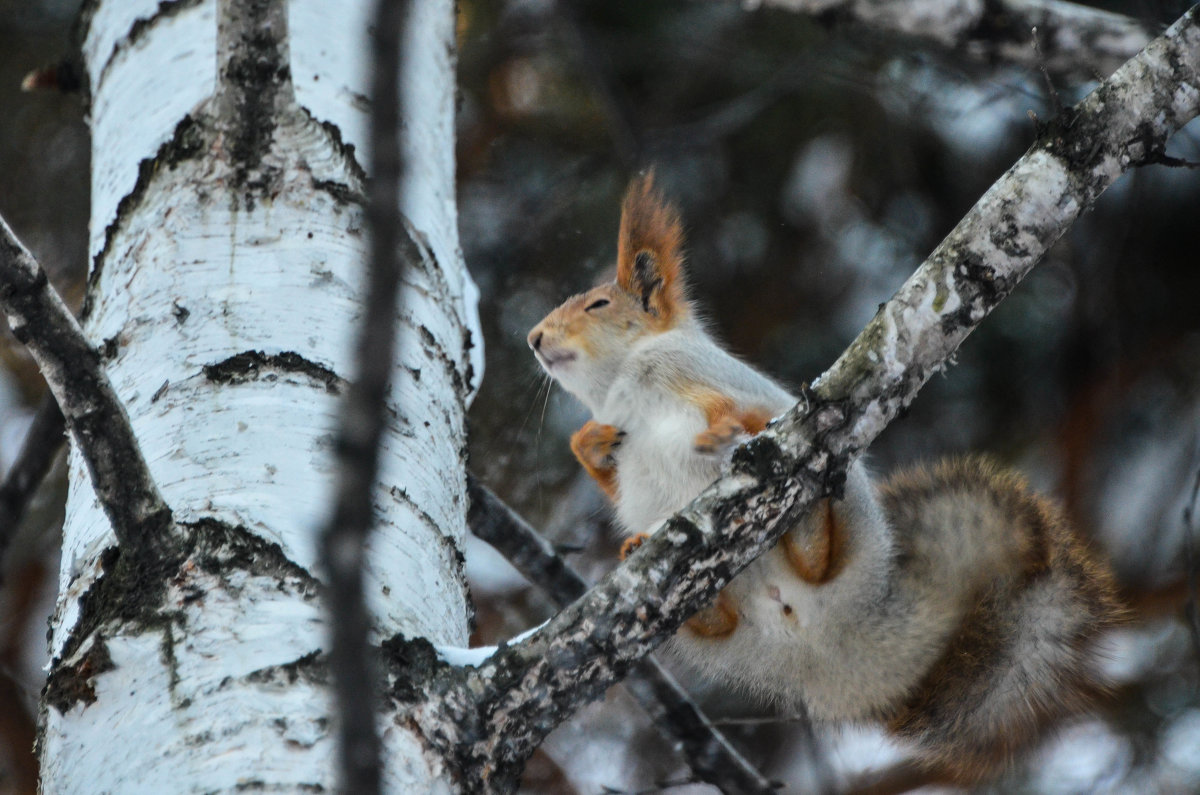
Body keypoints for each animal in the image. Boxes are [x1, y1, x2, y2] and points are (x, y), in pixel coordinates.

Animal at [525, 176, 1123, 782]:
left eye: (599, 304)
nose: (533, 337)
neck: (620, 383)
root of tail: (828, 640)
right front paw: (590, 442)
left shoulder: (692, 372)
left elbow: (727, 409)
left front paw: (721, 431)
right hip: (715, 631)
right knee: (718, 621)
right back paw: (652, 557)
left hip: (848, 521)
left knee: (819, 558)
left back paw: (808, 528)